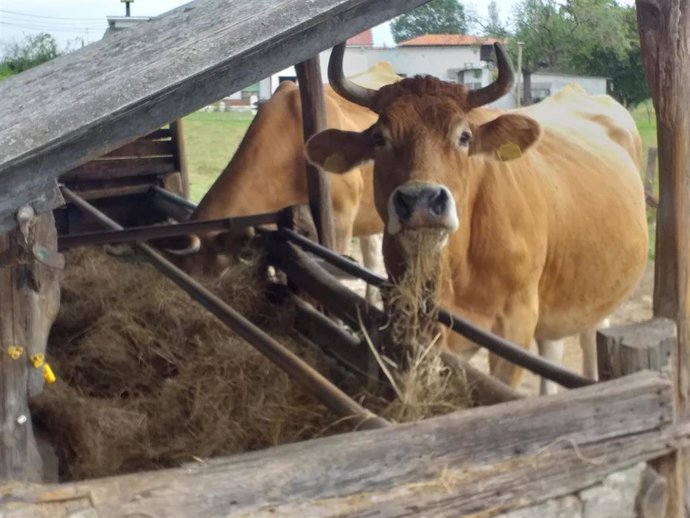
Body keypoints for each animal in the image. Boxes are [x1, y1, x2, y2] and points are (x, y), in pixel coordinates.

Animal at [305, 42, 648, 394]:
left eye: (464, 137)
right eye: (379, 138)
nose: (421, 200)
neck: (454, 268)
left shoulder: (517, 320)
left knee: (591, 336)